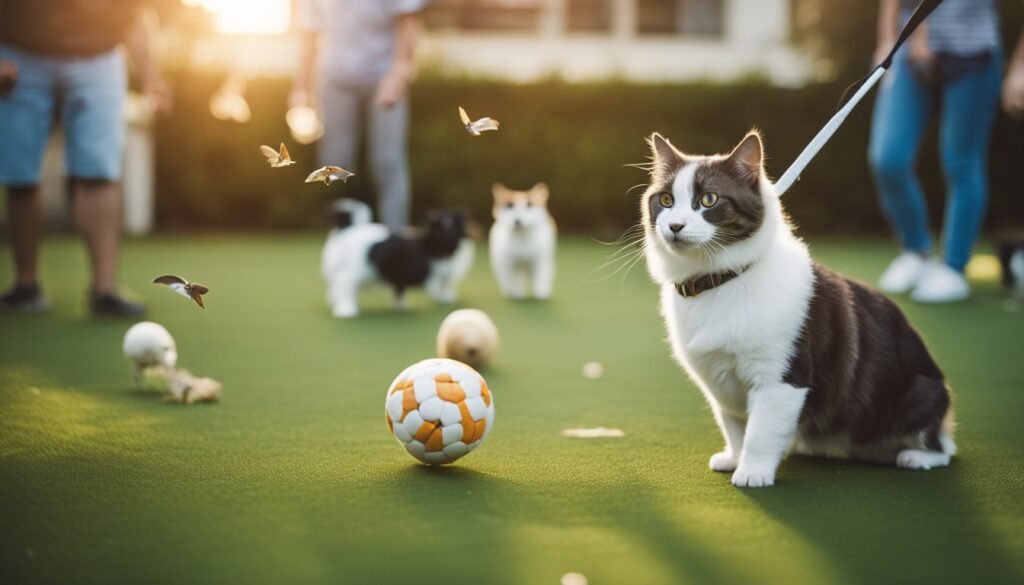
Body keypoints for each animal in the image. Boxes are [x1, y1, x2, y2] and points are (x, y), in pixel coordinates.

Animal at [319, 201, 475, 319]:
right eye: (440, 229)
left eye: (454, 228)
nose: (449, 238)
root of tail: (347, 229)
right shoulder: (431, 276)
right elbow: (436, 287)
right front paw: (442, 298)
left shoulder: (402, 276)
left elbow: (403, 290)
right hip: (351, 272)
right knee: (344, 287)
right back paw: (347, 310)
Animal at [634, 130, 954, 487]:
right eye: (665, 200)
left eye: (709, 200)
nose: (674, 226)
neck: (720, 280)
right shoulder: (721, 384)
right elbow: (734, 425)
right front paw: (735, 458)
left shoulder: (781, 378)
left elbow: (759, 432)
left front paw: (753, 471)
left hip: (919, 396)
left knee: (942, 446)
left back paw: (917, 456)